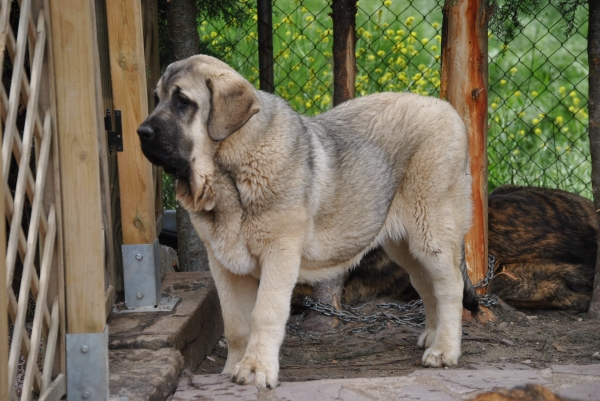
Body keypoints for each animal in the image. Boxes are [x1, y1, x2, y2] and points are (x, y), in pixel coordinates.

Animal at [136, 54, 478, 386]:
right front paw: (234, 367)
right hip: (405, 245)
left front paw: (256, 369)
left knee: (449, 286)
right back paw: (433, 336)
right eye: (157, 98)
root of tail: (448, 109)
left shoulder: (279, 253)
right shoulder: (223, 263)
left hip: (430, 232)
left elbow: (265, 312)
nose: (141, 133)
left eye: (183, 101)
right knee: (427, 286)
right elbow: (234, 322)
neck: (228, 173)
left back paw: (444, 350)